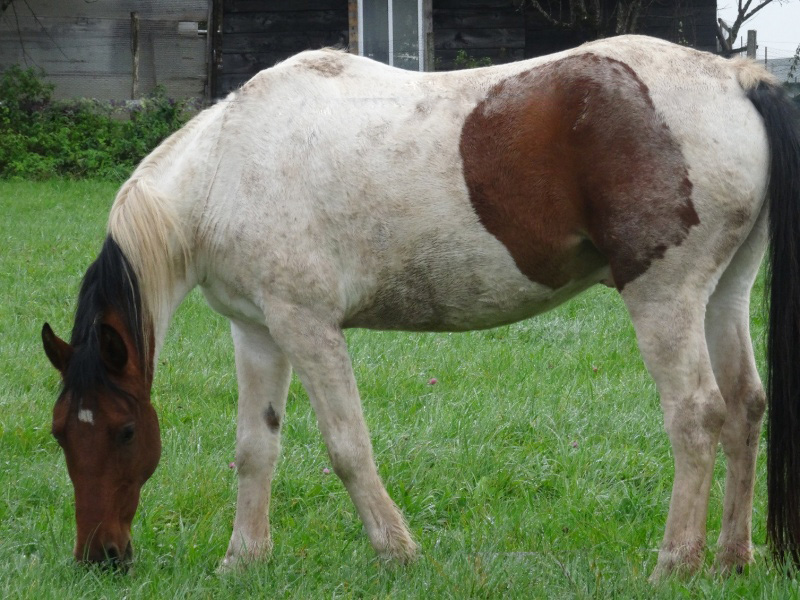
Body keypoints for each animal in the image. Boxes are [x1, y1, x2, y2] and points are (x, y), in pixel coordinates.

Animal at [40, 35, 800, 580]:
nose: (100, 557)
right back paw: (731, 559)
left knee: (696, 415)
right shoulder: (257, 332)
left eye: (124, 431)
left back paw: (675, 563)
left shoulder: (306, 325)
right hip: (722, 296)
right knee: (744, 407)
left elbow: (347, 446)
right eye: (60, 434)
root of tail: (736, 76)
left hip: (664, 299)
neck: (227, 167)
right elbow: (256, 448)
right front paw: (242, 560)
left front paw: (396, 551)